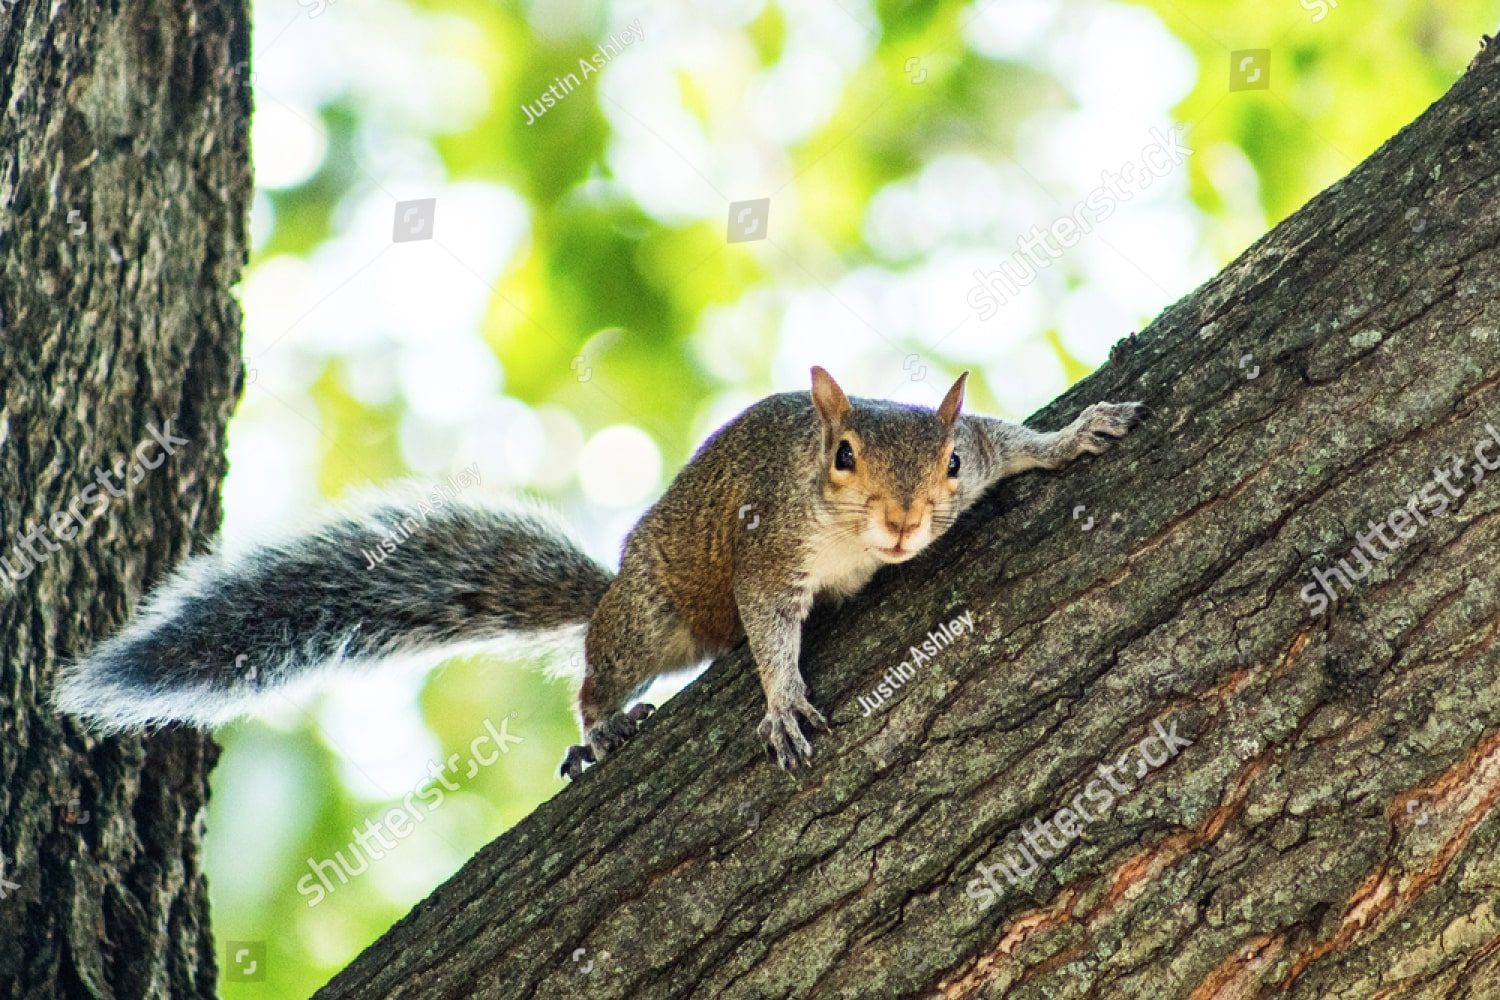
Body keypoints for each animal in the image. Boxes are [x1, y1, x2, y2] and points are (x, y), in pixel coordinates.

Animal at [52, 367, 1147, 778]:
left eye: (949, 463)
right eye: (843, 457)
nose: (905, 519)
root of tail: (614, 580)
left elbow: (1017, 441)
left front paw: (1073, 436)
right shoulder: (767, 551)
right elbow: (769, 627)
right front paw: (784, 700)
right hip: (651, 615)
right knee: (596, 671)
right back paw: (603, 729)